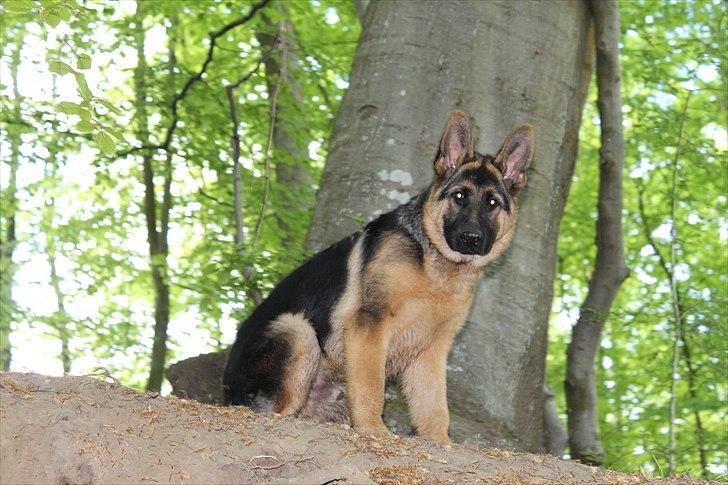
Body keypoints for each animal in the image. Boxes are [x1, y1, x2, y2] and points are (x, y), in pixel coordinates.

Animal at [219, 109, 532, 442]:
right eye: (460, 196)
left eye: (492, 203)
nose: (471, 239)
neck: (431, 264)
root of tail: (227, 392)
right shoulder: (370, 325)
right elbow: (372, 388)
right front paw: (374, 429)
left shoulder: (430, 351)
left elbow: (434, 406)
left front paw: (439, 441)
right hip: (298, 330)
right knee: (278, 410)